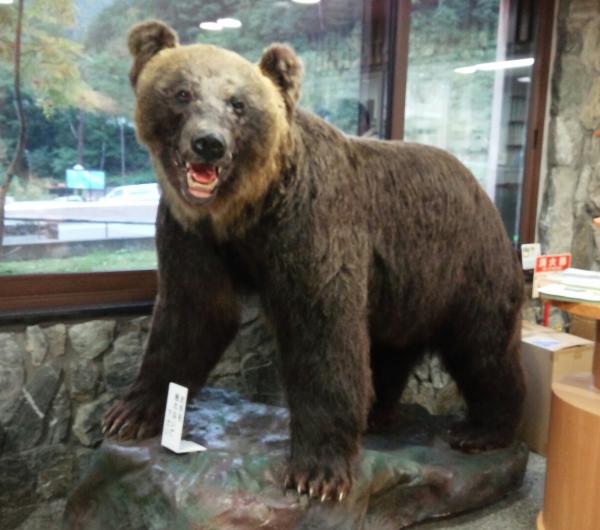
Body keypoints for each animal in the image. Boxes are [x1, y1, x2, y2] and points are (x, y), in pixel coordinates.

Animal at [102, 20, 525, 503]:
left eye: (238, 104)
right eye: (182, 92)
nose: (208, 143)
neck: (247, 210)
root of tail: (482, 189)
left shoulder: (311, 225)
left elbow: (322, 331)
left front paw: (317, 472)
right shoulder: (193, 234)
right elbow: (192, 314)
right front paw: (128, 412)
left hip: (465, 265)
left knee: (483, 347)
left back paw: (482, 430)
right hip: (403, 289)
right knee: (390, 349)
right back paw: (377, 412)